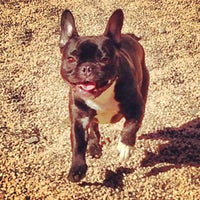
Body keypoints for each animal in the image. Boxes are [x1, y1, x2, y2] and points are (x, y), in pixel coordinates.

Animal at [58, 8, 149, 182]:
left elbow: (131, 126)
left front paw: (125, 147)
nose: (87, 67)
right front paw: (77, 167)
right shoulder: (78, 120)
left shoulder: (136, 107)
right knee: (93, 127)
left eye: (105, 59)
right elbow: (78, 143)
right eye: (71, 59)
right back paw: (93, 145)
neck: (101, 96)